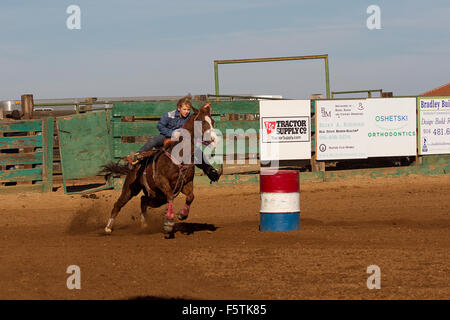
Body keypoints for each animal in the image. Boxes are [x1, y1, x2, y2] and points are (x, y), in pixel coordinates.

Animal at [99, 102, 221, 235]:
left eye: (212, 121)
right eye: (201, 122)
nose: (214, 139)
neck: (180, 155)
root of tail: (134, 167)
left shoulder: (186, 183)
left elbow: (190, 197)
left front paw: (182, 214)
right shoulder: (162, 181)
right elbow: (171, 197)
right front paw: (168, 223)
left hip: (157, 197)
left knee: (143, 200)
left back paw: (144, 224)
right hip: (130, 189)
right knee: (119, 204)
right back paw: (108, 227)